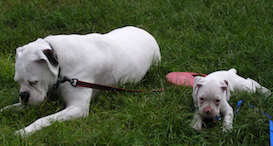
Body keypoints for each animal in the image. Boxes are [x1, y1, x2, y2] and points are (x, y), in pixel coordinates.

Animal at [0, 26, 160, 137]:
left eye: (33, 82)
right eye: (18, 82)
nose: (23, 96)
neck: (62, 64)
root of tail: (146, 32)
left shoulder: (77, 107)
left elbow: (43, 119)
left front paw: (23, 132)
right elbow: (10, 108)